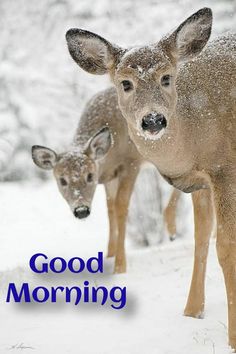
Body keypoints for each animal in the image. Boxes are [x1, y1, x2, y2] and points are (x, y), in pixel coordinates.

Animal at [30, 88, 179, 274]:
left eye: (90, 175)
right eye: (62, 180)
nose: (81, 210)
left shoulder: (131, 163)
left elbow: (121, 207)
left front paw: (120, 266)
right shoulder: (110, 177)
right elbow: (110, 209)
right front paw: (109, 255)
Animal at [65, 6, 236, 350]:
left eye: (166, 78)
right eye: (125, 83)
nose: (154, 120)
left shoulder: (224, 167)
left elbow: (226, 248)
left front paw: (233, 339)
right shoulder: (201, 180)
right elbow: (200, 239)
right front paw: (191, 312)